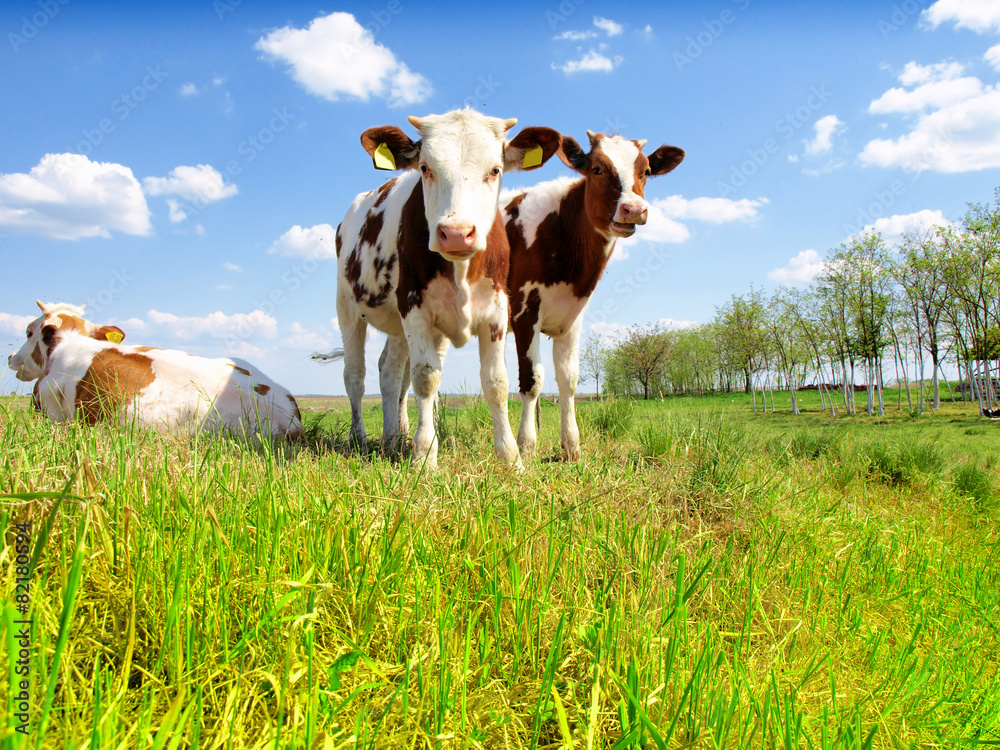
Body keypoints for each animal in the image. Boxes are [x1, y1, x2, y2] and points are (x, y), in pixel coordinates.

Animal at [334, 108, 556, 470]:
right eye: (425, 168)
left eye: (495, 169)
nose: (456, 233)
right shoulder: (415, 307)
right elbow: (426, 378)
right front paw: (424, 456)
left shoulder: (496, 310)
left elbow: (496, 382)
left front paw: (511, 458)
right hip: (347, 307)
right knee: (355, 375)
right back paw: (360, 439)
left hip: (400, 326)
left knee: (390, 373)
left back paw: (393, 438)